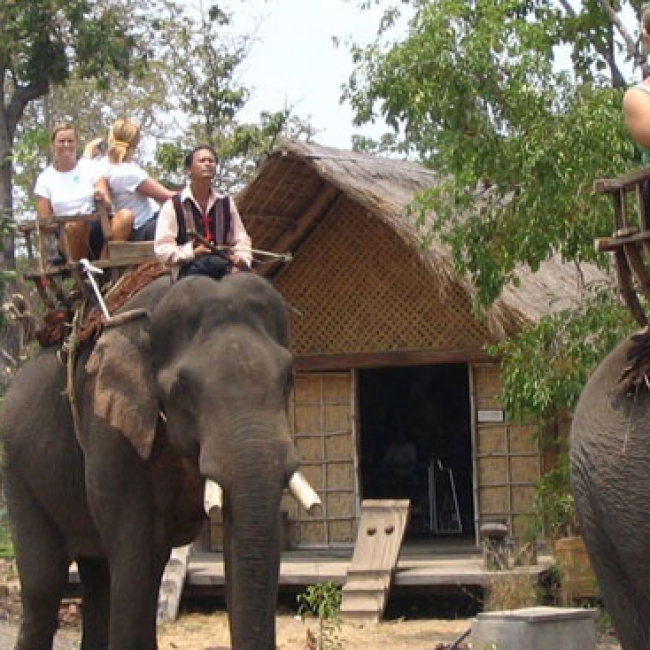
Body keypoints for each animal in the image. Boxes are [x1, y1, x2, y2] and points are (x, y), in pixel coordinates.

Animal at [1, 271, 319, 650]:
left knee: (98, 576)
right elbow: (139, 555)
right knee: (45, 585)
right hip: (17, 469)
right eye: (183, 389)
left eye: (288, 377)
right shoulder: (110, 429)